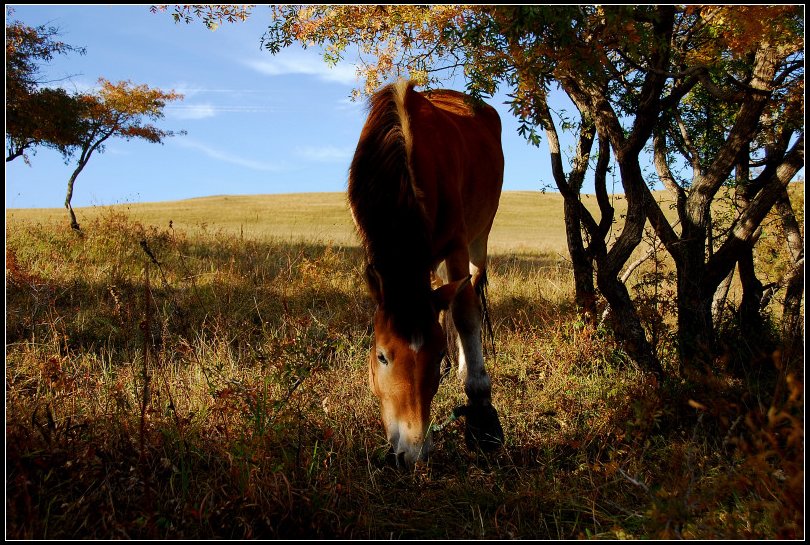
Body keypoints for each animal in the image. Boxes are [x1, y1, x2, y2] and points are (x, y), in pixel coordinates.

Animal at [346, 78, 502, 466]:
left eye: (434, 357)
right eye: (382, 355)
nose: (411, 452)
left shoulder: (458, 244)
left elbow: (466, 315)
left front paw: (481, 411)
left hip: (480, 236)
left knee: (469, 288)